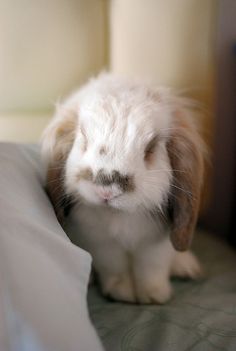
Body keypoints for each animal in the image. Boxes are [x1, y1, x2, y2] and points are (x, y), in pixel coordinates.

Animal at [42, 73, 205, 304]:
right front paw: (122, 293)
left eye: (151, 147)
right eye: (84, 137)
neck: (121, 215)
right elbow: (114, 267)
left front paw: (153, 296)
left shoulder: (157, 245)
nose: (107, 189)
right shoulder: (100, 242)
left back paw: (188, 268)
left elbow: (152, 268)